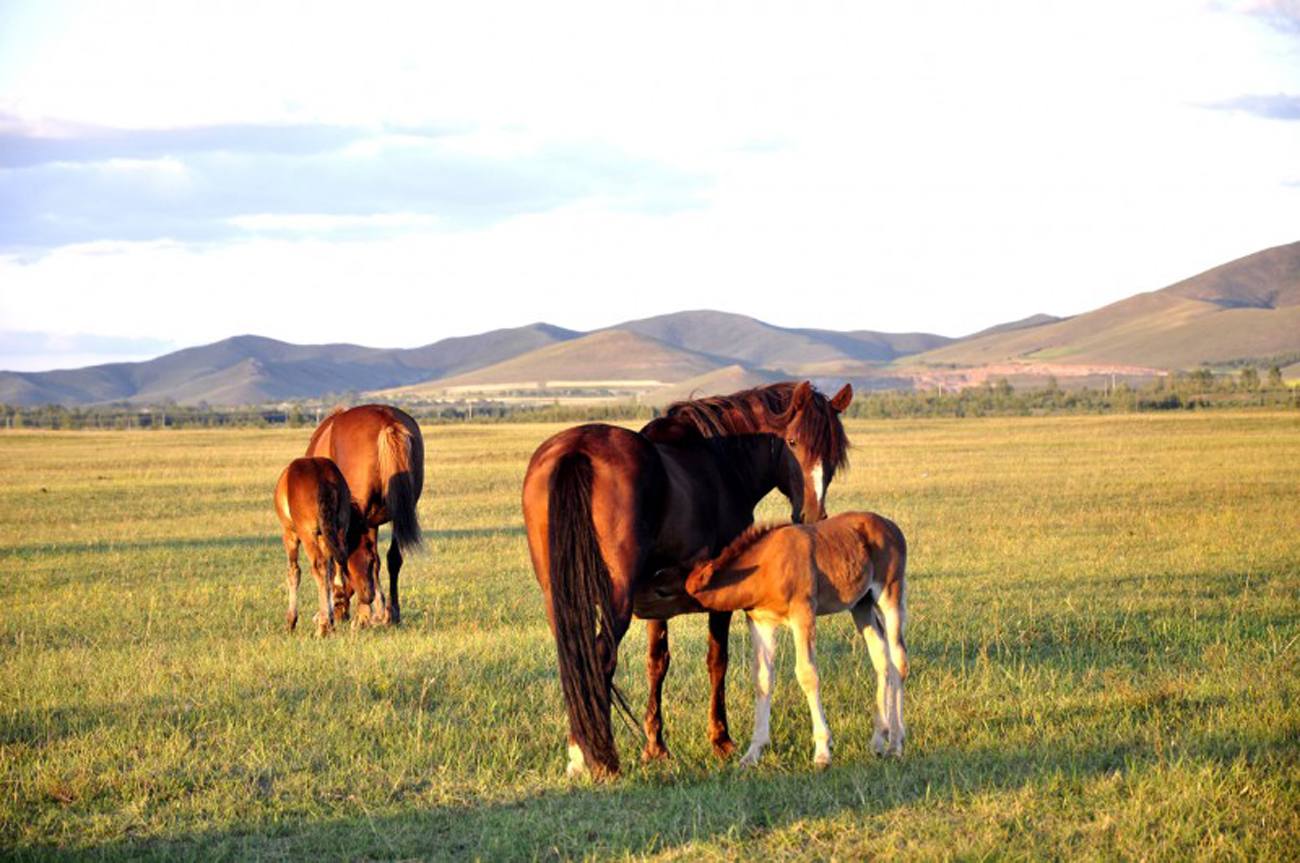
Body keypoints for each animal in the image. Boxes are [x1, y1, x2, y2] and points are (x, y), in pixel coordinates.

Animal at [271, 457, 379, 634]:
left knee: (319, 567)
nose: (368, 596)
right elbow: (333, 571)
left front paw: (291, 622)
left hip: (308, 534)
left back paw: (322, 628)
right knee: (335, 565)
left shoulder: (290, 534)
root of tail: (324, 479)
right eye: (371, 561)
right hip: (338, 528)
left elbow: (294, 572)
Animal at [306, 400, 423, 623]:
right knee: (393, 558)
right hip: (398, 514)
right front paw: (380, 609)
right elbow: (377, 562)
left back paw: (362, 615)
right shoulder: (372, 523)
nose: (340, 613)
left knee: (361, 559)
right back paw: (391, 613)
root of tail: (387, 421)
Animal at [517, 382, 852, 779]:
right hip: (615, 599)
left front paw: (655, 747)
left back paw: (577, 754)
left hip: (561, 597)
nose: (813, 517)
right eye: (793, 442)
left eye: (834, 452)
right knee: (599, 658)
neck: (722, 462)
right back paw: (600, 757)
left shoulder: (654, 595)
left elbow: (657, 662)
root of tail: (578, 449)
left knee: (575, 659)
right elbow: (717, 659)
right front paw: (721, 741)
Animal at [686, 509, 909, 764]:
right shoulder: (761, 622)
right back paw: (879, 739)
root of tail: (891, 526)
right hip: (861, 605)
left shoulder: (803, 613)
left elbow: (807, 674)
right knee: (881, 657)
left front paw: (822, 750)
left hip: (889, 593)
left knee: (898, 658)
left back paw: (895, 743)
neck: (766, 564)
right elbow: (762, 678)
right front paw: (753, 752)